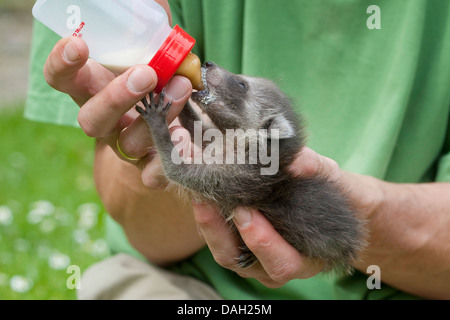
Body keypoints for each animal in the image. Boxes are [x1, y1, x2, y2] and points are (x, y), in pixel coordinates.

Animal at [136, 62, 366, 272]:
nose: (208, 63)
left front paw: (159, 125)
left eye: (242, 84)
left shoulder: (235, 178)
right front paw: (183, 102)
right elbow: (201, 132)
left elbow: (178, 171)